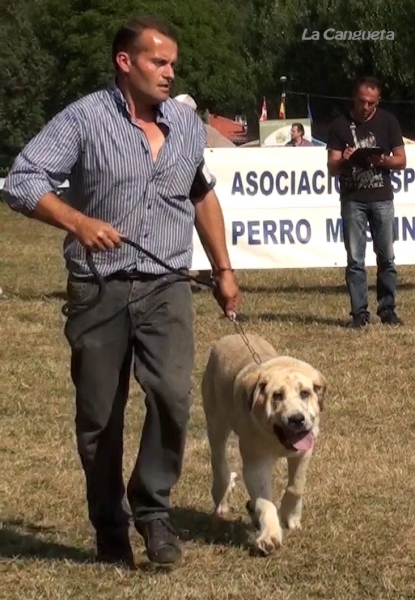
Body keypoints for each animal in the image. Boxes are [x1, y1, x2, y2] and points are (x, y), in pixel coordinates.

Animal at [202, 332, 328, 552]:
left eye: (305, 393)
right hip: (216, 425)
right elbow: (265, 500)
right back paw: (222, 501)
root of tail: (230, 336)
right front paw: (270, 536)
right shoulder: (256, 462)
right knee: (220, 467)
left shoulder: (305, 451)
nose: (297, 419)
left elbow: (296, 486)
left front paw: (290, 517)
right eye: (277, 396)